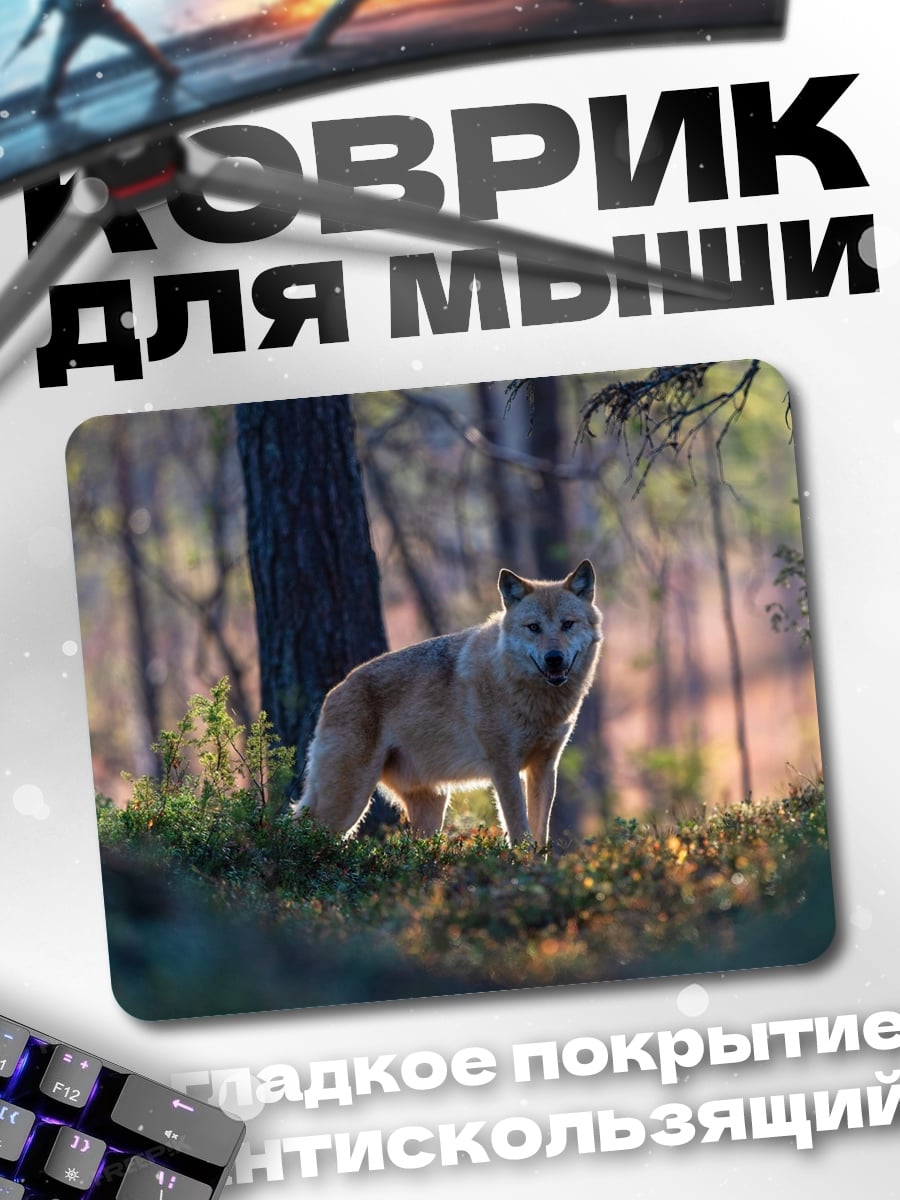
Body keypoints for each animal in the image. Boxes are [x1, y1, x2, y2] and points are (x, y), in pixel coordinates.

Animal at [295, 560, 602, 845]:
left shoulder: (545, 767)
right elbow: (519, 832)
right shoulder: (503, 768)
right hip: (348, 803)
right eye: (534, 628)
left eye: (567, 624)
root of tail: (332, 693)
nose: (554, 658)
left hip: (430, 808)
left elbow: (541, 835)